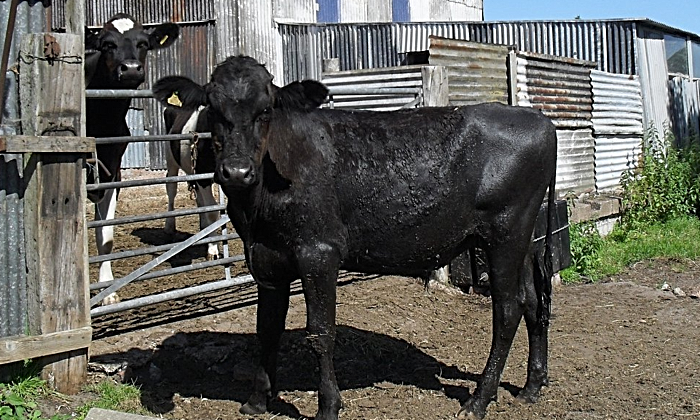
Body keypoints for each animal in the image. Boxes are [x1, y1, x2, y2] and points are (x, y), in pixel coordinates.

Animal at [86, 12, 179, 302]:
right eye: (106, 44)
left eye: (143, 44)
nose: (130, 68)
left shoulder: (111, 173)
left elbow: (105, 236)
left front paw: (107, 289)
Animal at [153, 56, 556, 420]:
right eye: (211, 106)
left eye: (266, 109)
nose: (236, 171)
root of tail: (539, 120)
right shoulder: (266, 259)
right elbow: (267, 330)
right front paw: (256, 401)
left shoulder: (318, 252)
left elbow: (321, 333)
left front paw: (328, 406)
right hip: (524, 239)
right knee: (533, 301)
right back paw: (531, 387)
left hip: (505, 233)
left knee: (508, 310)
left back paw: (478, 400)